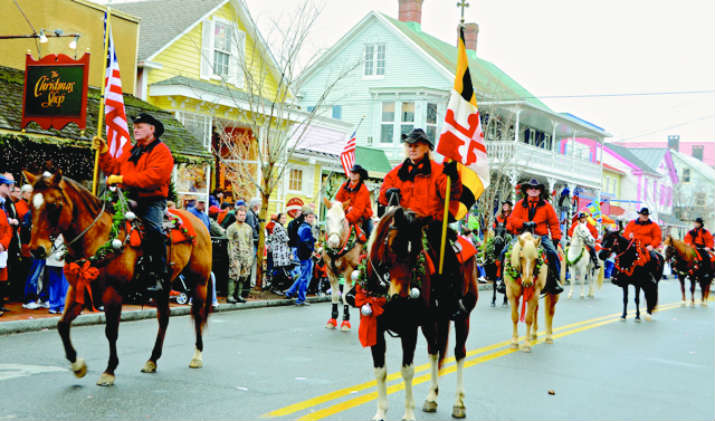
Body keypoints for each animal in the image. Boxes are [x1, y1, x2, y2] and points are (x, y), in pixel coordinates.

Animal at [23, 171, 213, 384]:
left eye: (55, 204)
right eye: (30, 204)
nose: (36, 249)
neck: (98, 236)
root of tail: (199, 221)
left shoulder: (112, 293)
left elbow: (111, 331)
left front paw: (109, 370)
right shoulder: (77, 289)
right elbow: (62, 325)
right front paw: (78, 365)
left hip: (199, 282)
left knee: (197, 314)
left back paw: (197, 356)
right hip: (164, 286)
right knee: (164, 318)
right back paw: (152, 360)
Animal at [322, 199, 364, 330]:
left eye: (342, 219)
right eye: (327, 217)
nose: (333, 242)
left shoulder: (349, 272)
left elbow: (345, 295)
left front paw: (345, 321)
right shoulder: (330, 271)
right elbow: (335, 295)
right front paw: (332, 319)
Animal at [360, 208, 478, 420]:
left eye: (417, 250)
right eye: (393, 245)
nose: (402, 296)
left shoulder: (409, 330)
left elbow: (407, 371)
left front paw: (408, 414)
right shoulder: (376, 328)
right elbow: (380, 371)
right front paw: (381, 412)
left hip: (463, 317)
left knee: (459, 353)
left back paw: (459, 403)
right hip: (430, 323)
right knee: (434, 350)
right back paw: (431, 397)